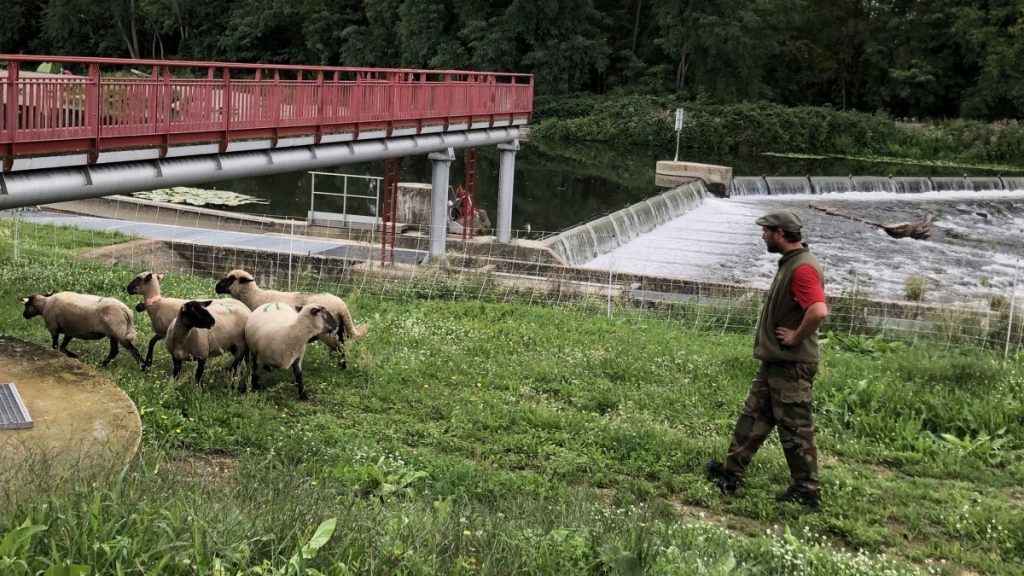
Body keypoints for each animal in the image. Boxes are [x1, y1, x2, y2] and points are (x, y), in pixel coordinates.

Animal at [214, 266, 366, 364]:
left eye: (231, 279)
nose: (216, 287)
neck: (254, 296)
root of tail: (341, 305)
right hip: (340, 331)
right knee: (341, 347)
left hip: (327, 333)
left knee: (339, 348)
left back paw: (341, 367)